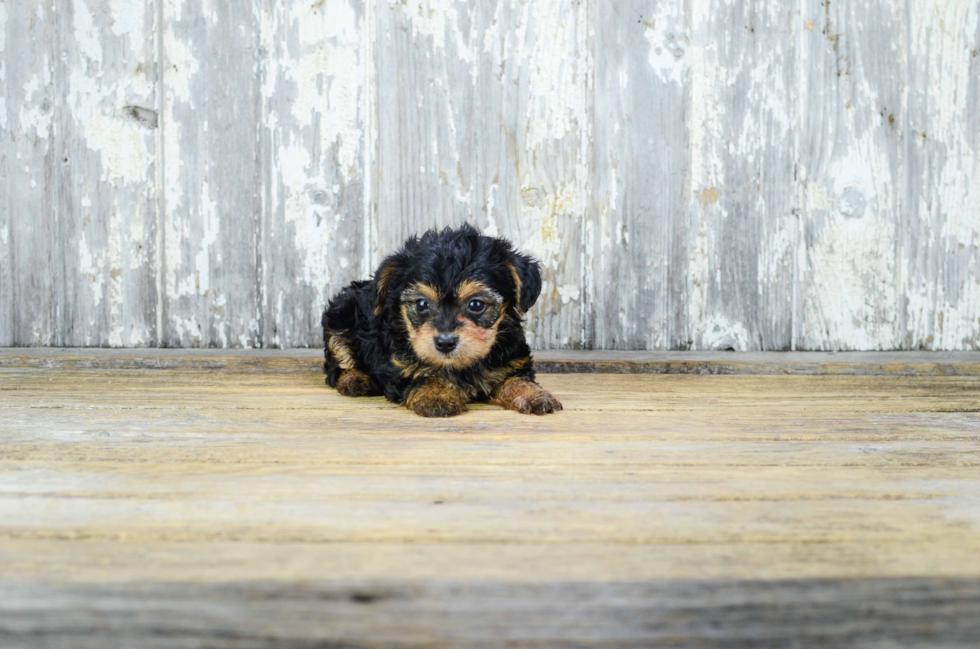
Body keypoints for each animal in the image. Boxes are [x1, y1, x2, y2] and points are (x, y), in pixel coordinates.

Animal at [324, 224, 560, 416]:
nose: (445, 343)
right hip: (340, 316)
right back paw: (356, 380)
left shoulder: (513, 360)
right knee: (338, 361)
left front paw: (534, 395)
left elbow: (516, 378)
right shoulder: (397, 365)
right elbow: (423, 375)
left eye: (476, 305)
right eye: (421, 304)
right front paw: (436, 395)